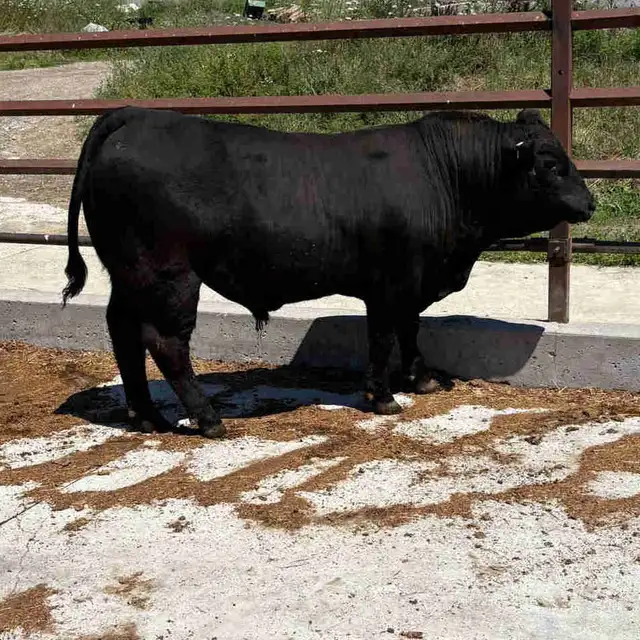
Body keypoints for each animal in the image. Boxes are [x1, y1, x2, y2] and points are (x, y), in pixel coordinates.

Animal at [62, 106, 595, 438]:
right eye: (550, 163)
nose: (589, 203)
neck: (443, 176)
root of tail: (136, 115)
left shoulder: (412, 283)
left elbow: (411, 328)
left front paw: (420, 378)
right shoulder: (390, 282)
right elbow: (383, 336)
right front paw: (382, 396)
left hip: (128, 275)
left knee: (123, 332)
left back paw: (146, 415)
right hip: (168, 276)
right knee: (166, 343)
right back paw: (207, 418)